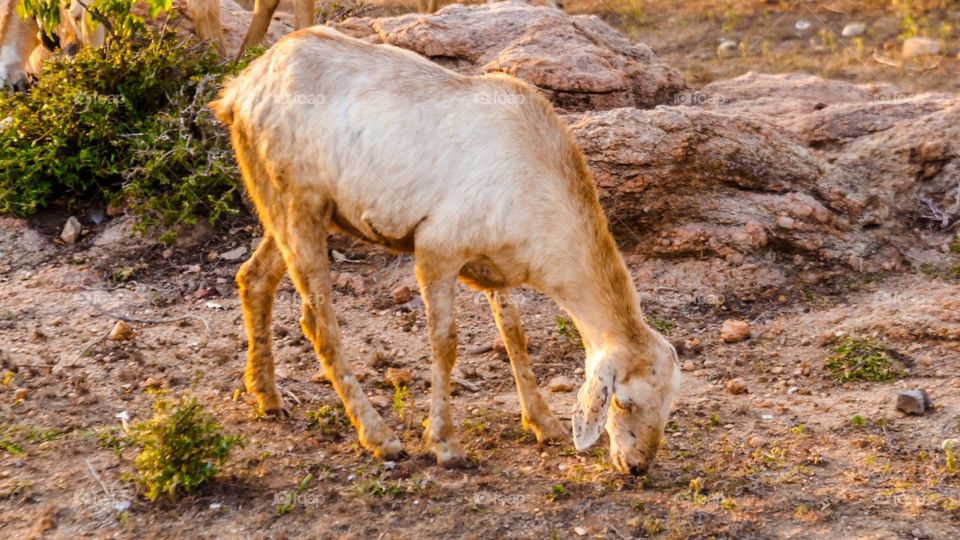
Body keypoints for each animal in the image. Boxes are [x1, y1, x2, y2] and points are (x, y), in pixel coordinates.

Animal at [210, 26, 680, 474]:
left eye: (670, 404)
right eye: (623, 401)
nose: (637, 467)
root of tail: (238, 90)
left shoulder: (495, 263)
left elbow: (514, 333)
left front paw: (545, 425)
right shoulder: (437, 247)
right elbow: (444, 343)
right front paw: (445, 444)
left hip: (290, 204)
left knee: (253, 278)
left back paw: (267, 397)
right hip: (297, 199)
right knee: (317, 321)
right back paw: (379, 437)